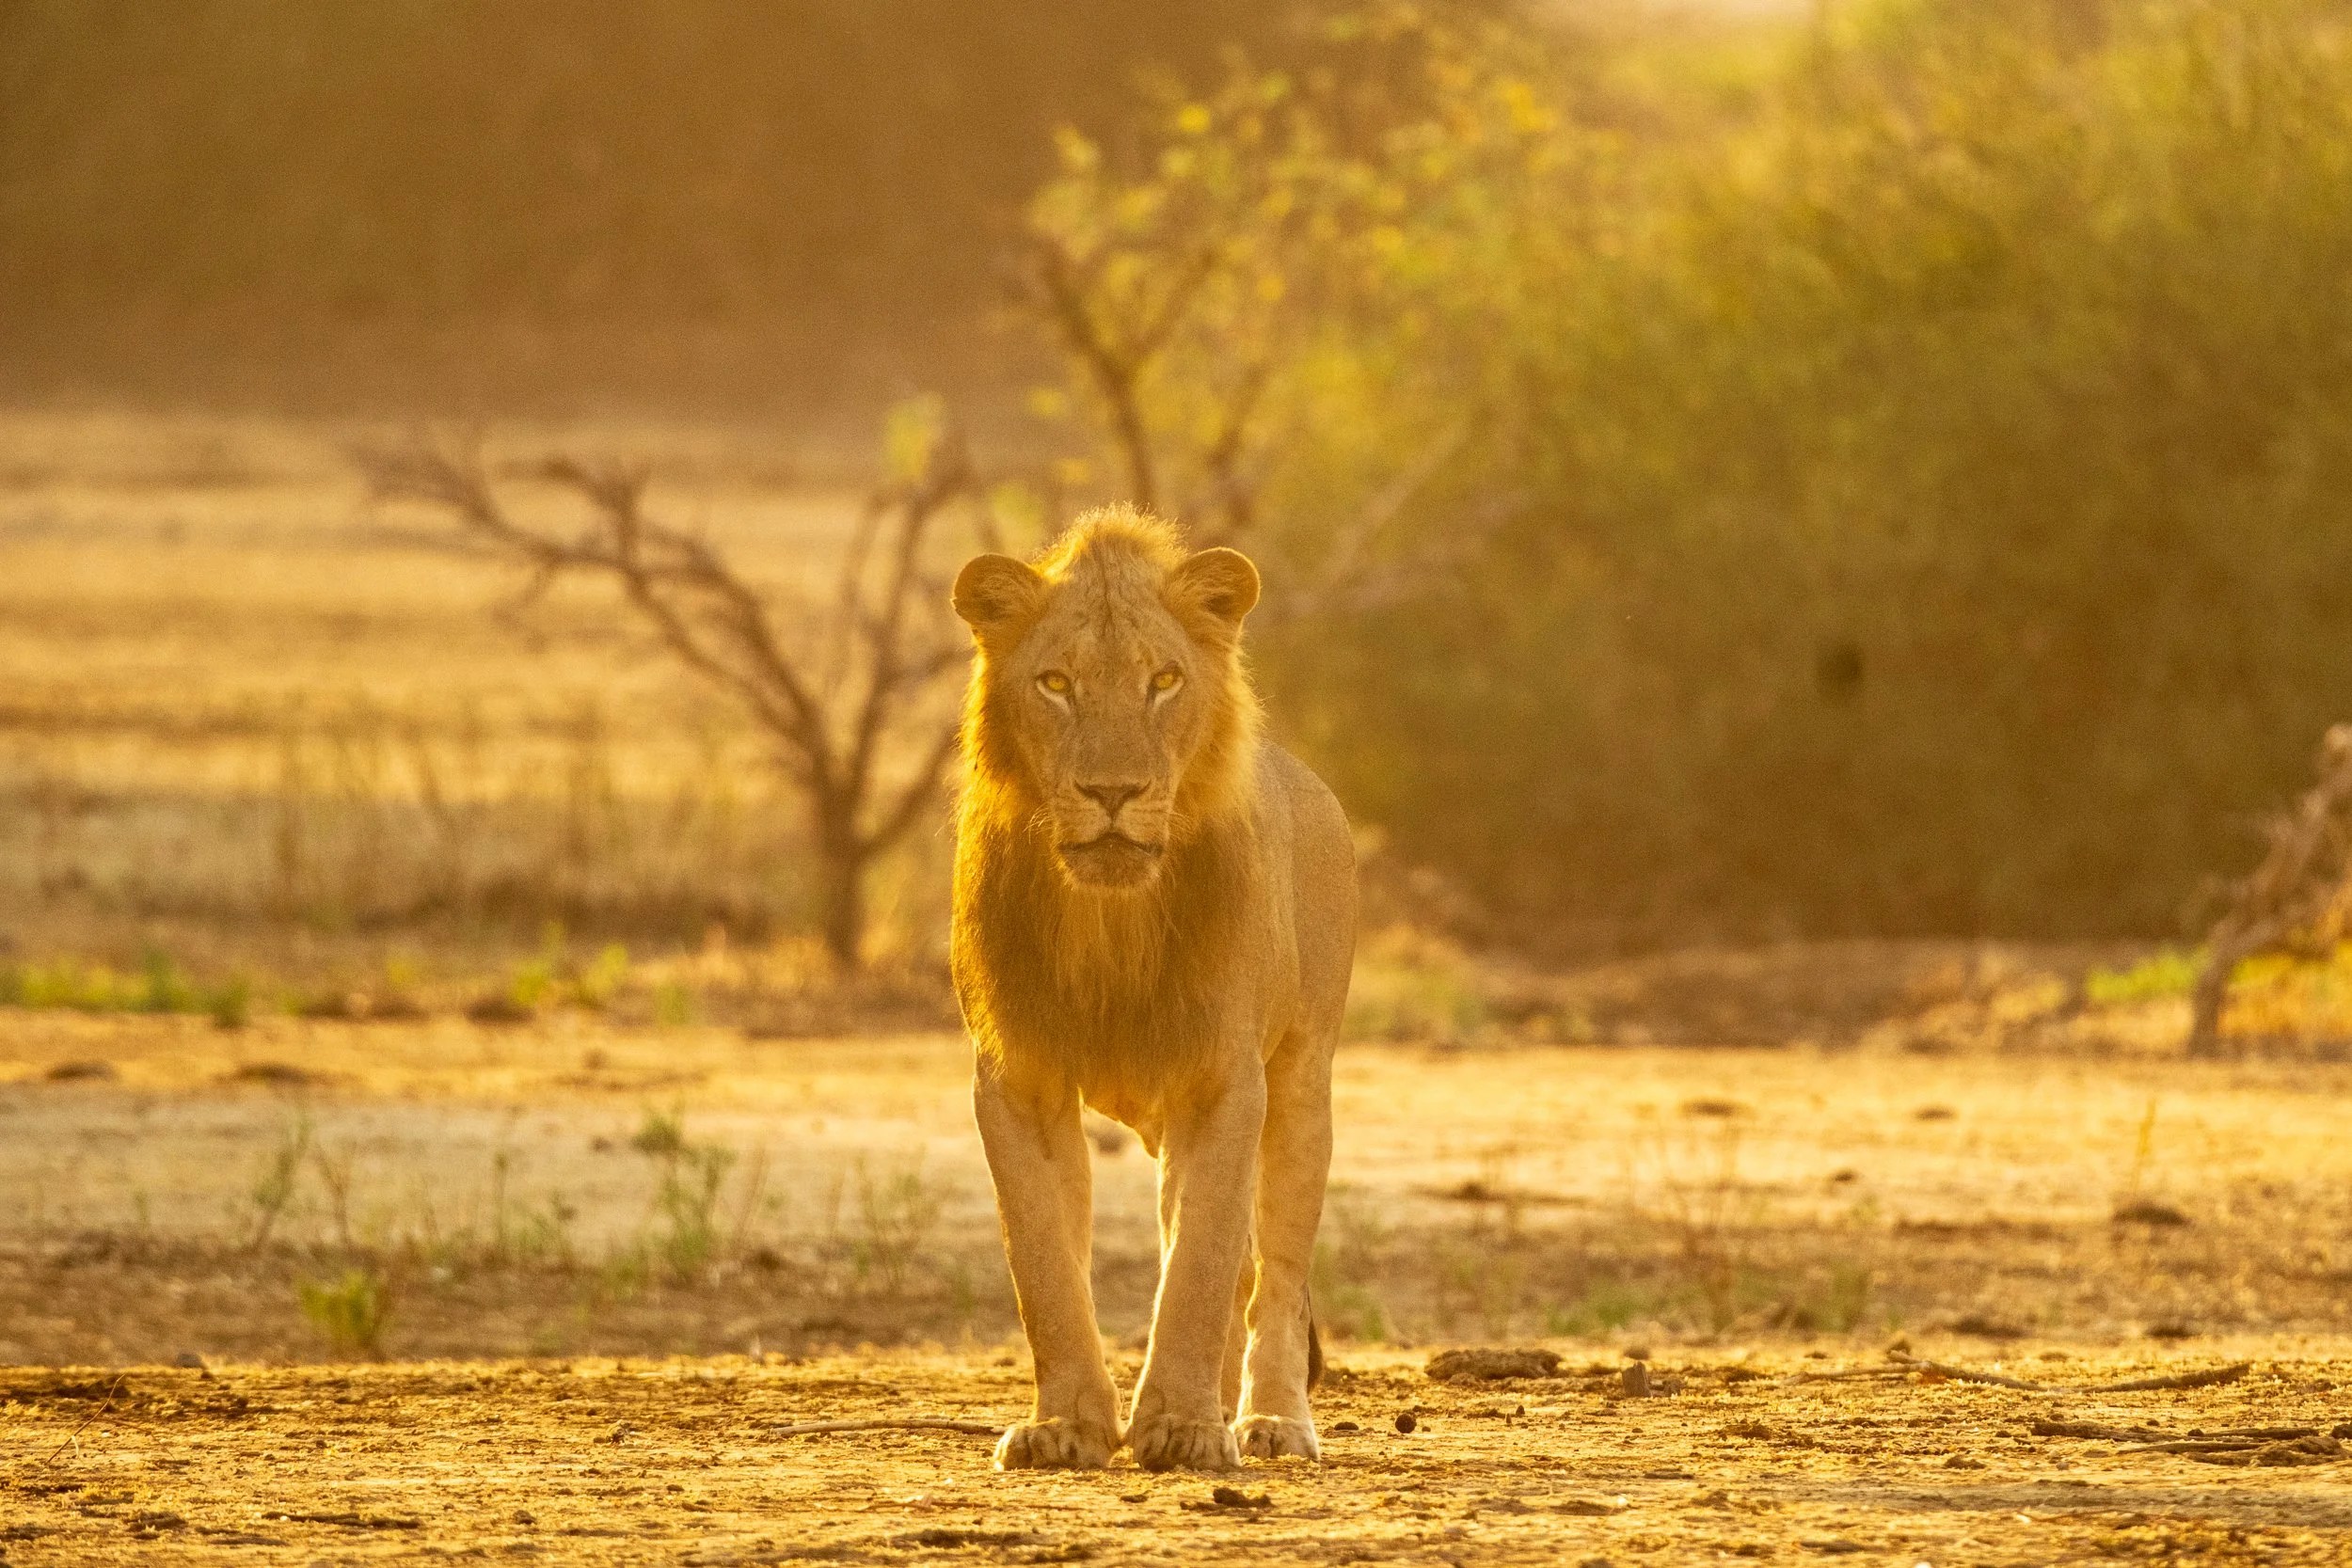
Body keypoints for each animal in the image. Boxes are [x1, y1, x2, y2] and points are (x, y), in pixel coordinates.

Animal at [949, 506, 1356, 1473]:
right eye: (1056, 682)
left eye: (1163, 680)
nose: (1112, 790)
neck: (1111, 921)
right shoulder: (1015, 1078)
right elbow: (1045, 1263)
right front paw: (1066, 1425)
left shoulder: (1224, 1080)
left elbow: (1202, 1264)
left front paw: (1182, 1425)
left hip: (1302, 1081)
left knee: (1276, 1272)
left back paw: (1273, 1418)